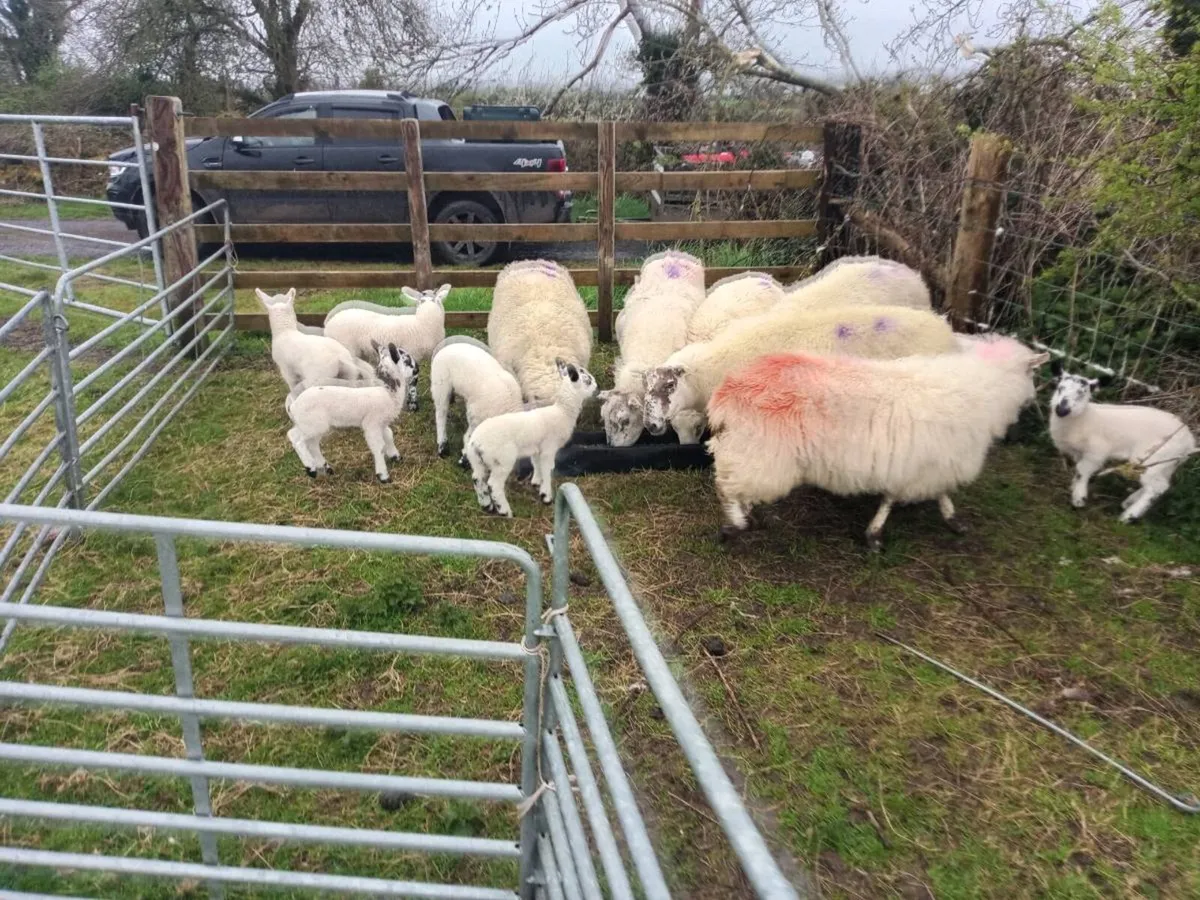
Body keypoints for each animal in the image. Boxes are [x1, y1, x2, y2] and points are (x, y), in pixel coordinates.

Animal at [286, 342, 418, 483]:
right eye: (407, 361)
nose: (417, 370)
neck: (389, 392)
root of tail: (293, 405)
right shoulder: (372, 423)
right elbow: (378, 447)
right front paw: (383, 476)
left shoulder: (382, 422)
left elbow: (389, 435)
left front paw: (396, 456)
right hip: (313, 424)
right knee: (297, 440)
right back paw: (310, 469)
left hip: (310, 424)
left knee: (307, 442)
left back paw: (324, 467)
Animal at [430, 335, 523, 466]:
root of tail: (445, 347)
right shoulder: (475, 414)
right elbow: (471, 435)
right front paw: (464, 458)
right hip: (440, 383)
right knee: (440, 414)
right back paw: (442, 446)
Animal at [465, 359, 598, 517]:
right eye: (588, 380)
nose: (597, 388)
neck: (563, 411)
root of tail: (476, 443)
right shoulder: (548, 448)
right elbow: (548, 468)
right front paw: (546, 496)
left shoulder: (536, 448)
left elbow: (536, 464)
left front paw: (536, 483)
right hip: (502, 460)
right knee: (494, 485)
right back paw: (505, 511)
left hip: (476, 460)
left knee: (477, 478)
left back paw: (486, 505)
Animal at [707, 335, 1049, 548]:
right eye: (1032, 373)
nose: (1034, 399)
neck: (984, 387)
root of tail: (728, 391)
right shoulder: (933, 460)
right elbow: (915, 495)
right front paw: (877, 534)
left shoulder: (919, 461)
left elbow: (908, 494)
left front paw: (951, 520)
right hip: (763, 455)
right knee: (725, 488)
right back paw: (735, 525)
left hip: (747, 450)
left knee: (733, 484)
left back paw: (745, 514)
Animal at [1048, 362, 1197, 522]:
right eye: (1060, 388)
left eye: (1082, 393)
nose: (1062, 410)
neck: (1084, 418)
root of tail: (1189, 442)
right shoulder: (1077, 452)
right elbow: (1077, 471)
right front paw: (1074, 488)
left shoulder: (1096, 452)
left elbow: (1082, 471)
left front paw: (1079, 499)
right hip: (1168, 462)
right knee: (1161, 483)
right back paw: (1130, 501)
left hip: (1155, 456)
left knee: (1157, 487)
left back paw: (1128, 516)